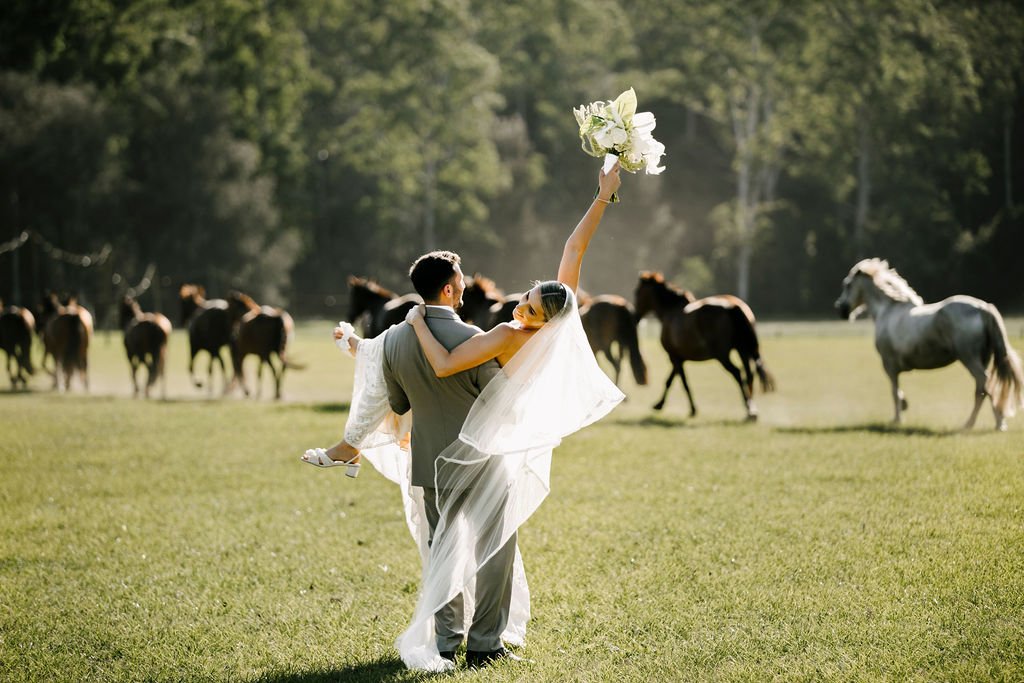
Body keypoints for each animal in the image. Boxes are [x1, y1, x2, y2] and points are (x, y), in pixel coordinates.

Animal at [634, 272, 775, 420]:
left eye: (637, 292)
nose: (635, 316)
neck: (671, 311)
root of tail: (732, 306)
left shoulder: (674, 356)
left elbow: (681, 382)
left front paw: (691, 409)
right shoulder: (680, 358)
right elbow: (672, 380)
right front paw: (660, 404)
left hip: (722, 355)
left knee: (737, 373)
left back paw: (748, 408)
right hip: (743, 350)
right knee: (749, 375)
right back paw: (751, 409)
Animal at [835, 258, 1023, 430]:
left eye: (847, 284)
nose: (841, 310)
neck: (889, 310)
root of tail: (983, 308)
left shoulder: (889, 365)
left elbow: (894, 391)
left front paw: (897, 419)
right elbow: (897, 392)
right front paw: (904, 406)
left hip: (969, 358)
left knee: (983, 385)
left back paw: (974, 424)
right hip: (983, 358)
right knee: (987, 388)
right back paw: (997, 423)